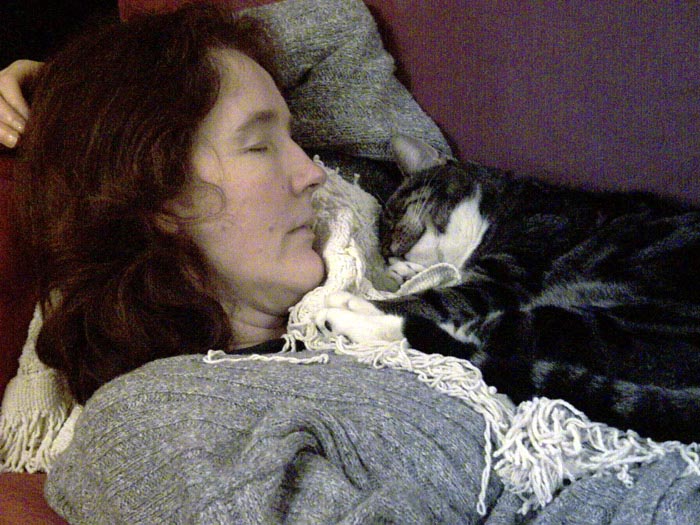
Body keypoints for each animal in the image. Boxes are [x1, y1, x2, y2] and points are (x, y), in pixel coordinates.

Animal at [317, 134, 700, 444]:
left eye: (395, 212)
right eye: (381, 247)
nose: (388, 251)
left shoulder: (505, 276)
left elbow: (436, 298)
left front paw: (365, 298)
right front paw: (406, 271)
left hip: (597, 319)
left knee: (468, 338)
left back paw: (342, 314)